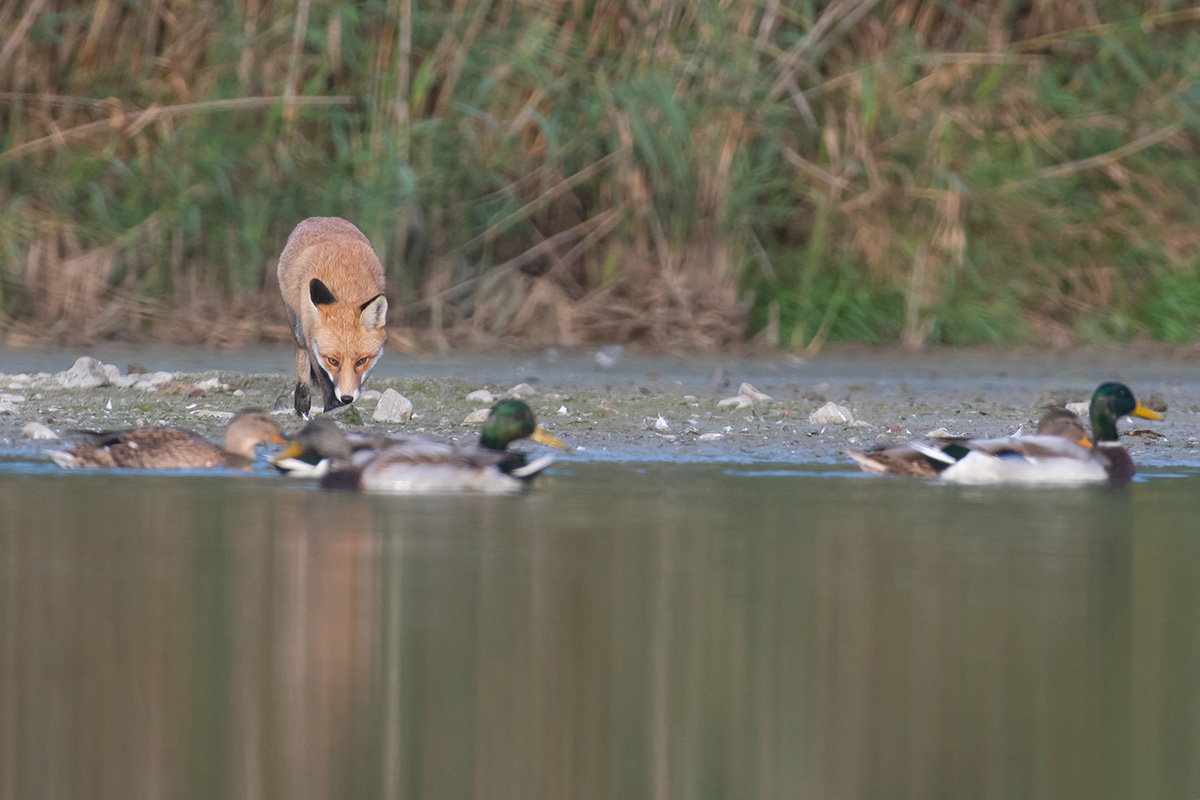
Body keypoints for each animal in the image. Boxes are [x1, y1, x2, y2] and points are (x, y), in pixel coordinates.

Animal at [276, 219, 388, 419]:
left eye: (361, 361)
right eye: (333, 361)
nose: (347, 398)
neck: (345, 285)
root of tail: (320, 217)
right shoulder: (312, 340)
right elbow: (324, 380)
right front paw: (332, 407)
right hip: (296, 326)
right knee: (301, 357)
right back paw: (302, 402)